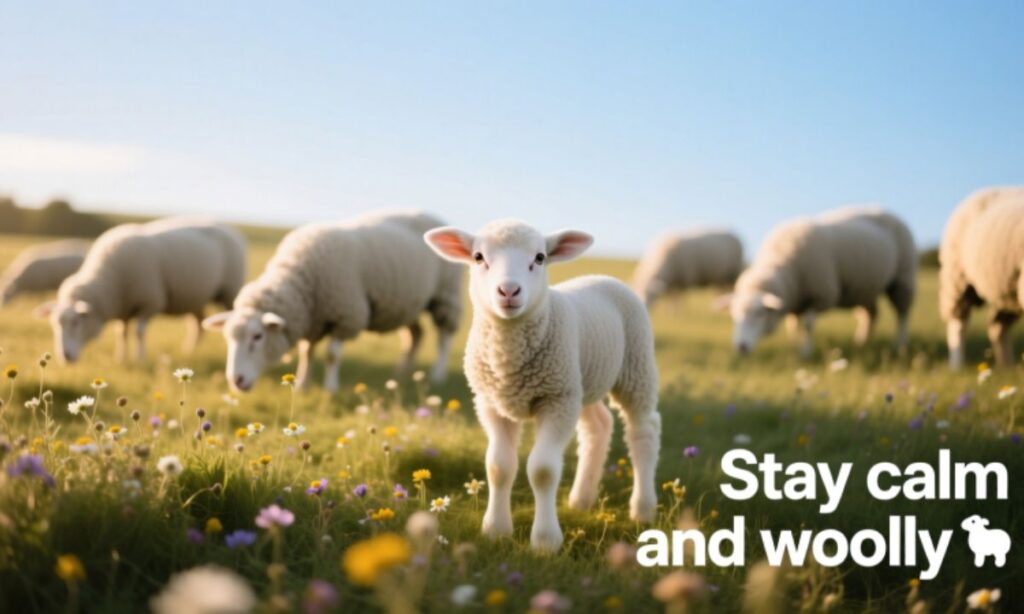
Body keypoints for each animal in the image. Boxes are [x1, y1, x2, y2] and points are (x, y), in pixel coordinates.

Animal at [34, 218, 246, 363]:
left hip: (230, 291)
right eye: (54, 324)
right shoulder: (123, 307)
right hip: (195, 298)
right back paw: (189, 352)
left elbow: (138, 332)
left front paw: (140, 358)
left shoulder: (151, 302)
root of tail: (231, 228)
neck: (110, 280)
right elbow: (121, 333)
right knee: (198, 326)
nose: (65, 357)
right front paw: (121, 357)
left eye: (76, 322)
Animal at [202, 210, 463, 393]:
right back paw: (402, 371)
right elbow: (307, 353)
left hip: (446, 296)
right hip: (407, 304)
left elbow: (331, 356)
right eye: (227, 338)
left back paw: (437, 375)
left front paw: (330, 388)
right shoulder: (313, 319)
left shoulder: (346, 315)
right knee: (415, 335)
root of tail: (432, 214)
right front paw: (302, 385)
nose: (235, 381)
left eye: (258, 336)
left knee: (444, 338)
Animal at [424, 219, 661, 552]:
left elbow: (543, 470)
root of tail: (602, 277)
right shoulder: (491, 403)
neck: (508, 359)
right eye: (478, 257)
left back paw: (643, 508)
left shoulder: (556, 400)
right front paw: (496, 529)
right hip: (581, 382)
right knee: (598, 426)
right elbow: (498, 467)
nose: (509, 290)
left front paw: (546, 541)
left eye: (539, 257)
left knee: (643, 431)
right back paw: (581, 500)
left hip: (634, 368)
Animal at [718, 207, 916, 357]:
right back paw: (861, 342)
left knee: (903, 314)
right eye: (734, 315)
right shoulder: (795, 299)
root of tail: (887, 210)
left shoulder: (821, 295)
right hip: (867, 287)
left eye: (760, 314)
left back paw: (900, 345)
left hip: (903, 278)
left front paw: (805, 352)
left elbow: (807, 325)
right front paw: (793, 347)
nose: (741, 347)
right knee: (871, 314)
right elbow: (793, 326)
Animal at [939, 187, 1024, 369]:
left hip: (1007, 290)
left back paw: (1006, 366)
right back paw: (957, 365)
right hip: (958, 278)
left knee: (997, 326)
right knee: (958, 324)